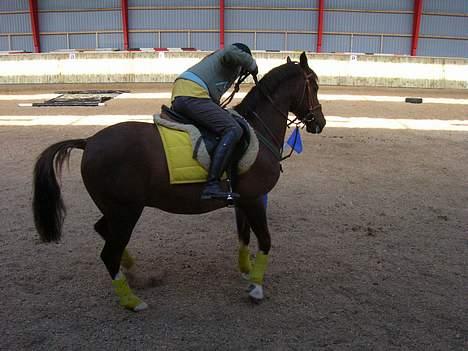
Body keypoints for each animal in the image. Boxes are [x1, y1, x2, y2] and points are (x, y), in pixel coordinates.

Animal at [33, 52, 326, 310]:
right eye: (314, 85)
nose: (320, 123)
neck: (256, 130)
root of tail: (89, 141)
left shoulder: (244, 200)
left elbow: (243, 237)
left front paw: (246, 270)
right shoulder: (254, 200)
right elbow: (265, 241)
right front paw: (255, 286)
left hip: (116, 211)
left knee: (105, 234)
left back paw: (136, 274)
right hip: (126, 211)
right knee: (109, 253)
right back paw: (132, 301)